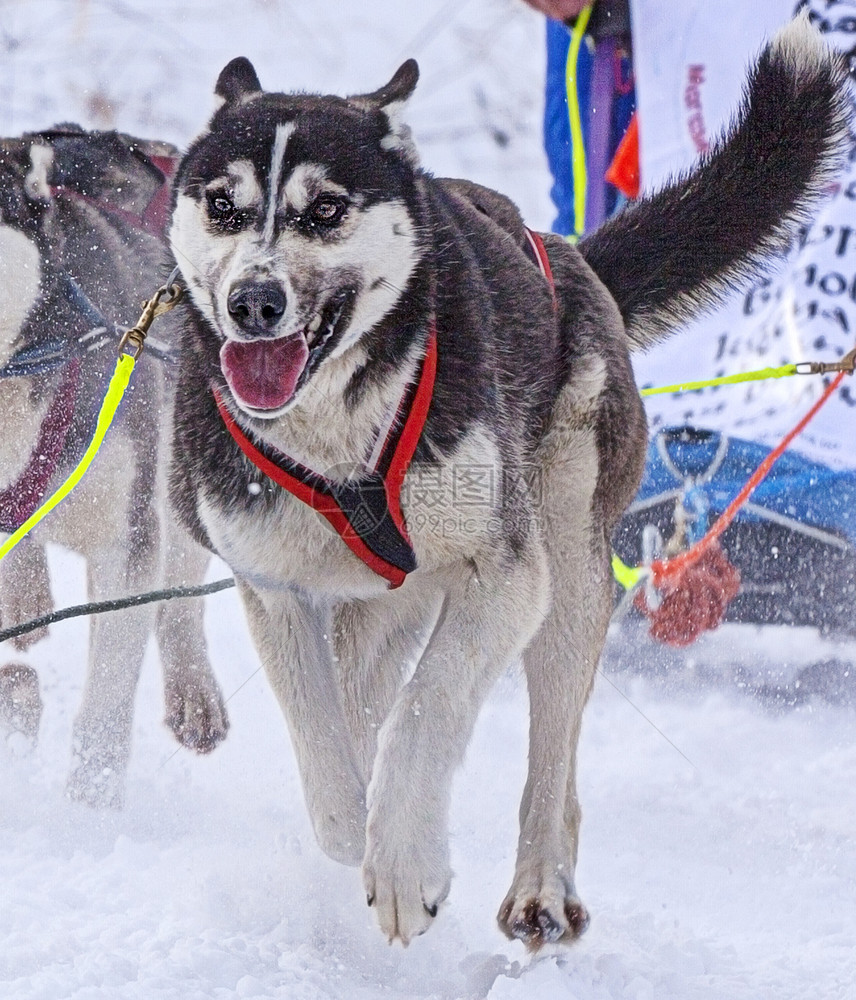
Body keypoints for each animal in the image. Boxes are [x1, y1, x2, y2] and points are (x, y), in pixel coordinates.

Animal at [167, 19, 848, 948]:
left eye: (327, 209)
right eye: (223, 205)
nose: (254, 302)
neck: (340, 438)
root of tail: (572, 259)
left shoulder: (507, 578)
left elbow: (425, 709)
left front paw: (405, 863)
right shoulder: (276, 589)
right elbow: (327, 743)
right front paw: (355, 823)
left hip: (568, 573)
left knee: (551, 762)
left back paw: (541, 891)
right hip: (390, 602)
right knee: (368, 691)